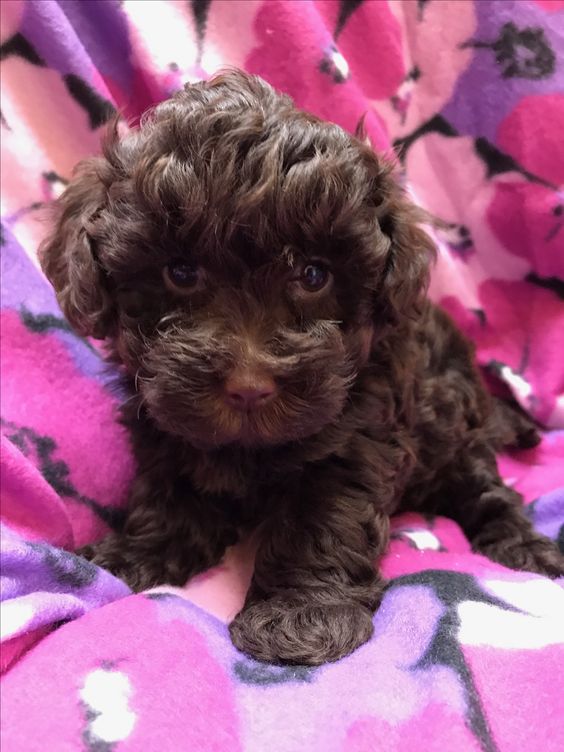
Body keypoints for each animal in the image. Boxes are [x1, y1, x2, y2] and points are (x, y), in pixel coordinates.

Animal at [40, 70, 564, 664]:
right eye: (180, 272)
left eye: (314, 275)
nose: (249, 388)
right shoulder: (166, 429)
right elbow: (169, 496)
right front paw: (134, 554)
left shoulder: (354, 438)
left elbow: (319, 520)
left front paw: (301, 614)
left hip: (455, 433)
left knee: (486, 490)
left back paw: (522, 547)